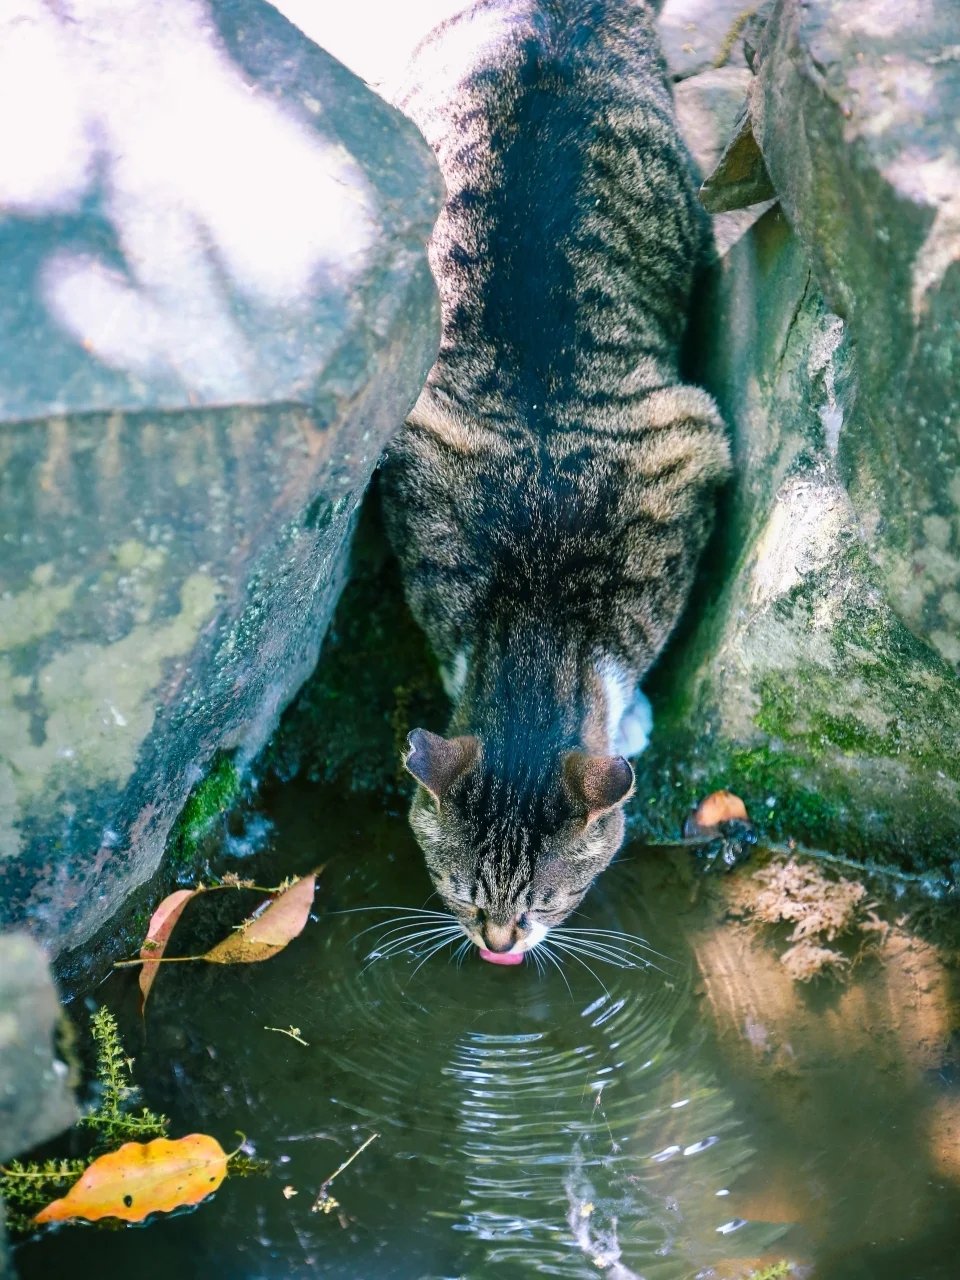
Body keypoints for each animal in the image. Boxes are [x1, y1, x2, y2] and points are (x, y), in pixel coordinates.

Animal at [378, 0, 732, 962]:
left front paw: (632, 713)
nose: (500, 944)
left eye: (550, 898)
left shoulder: (690, 450)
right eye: (462, 893)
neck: (539, 603)